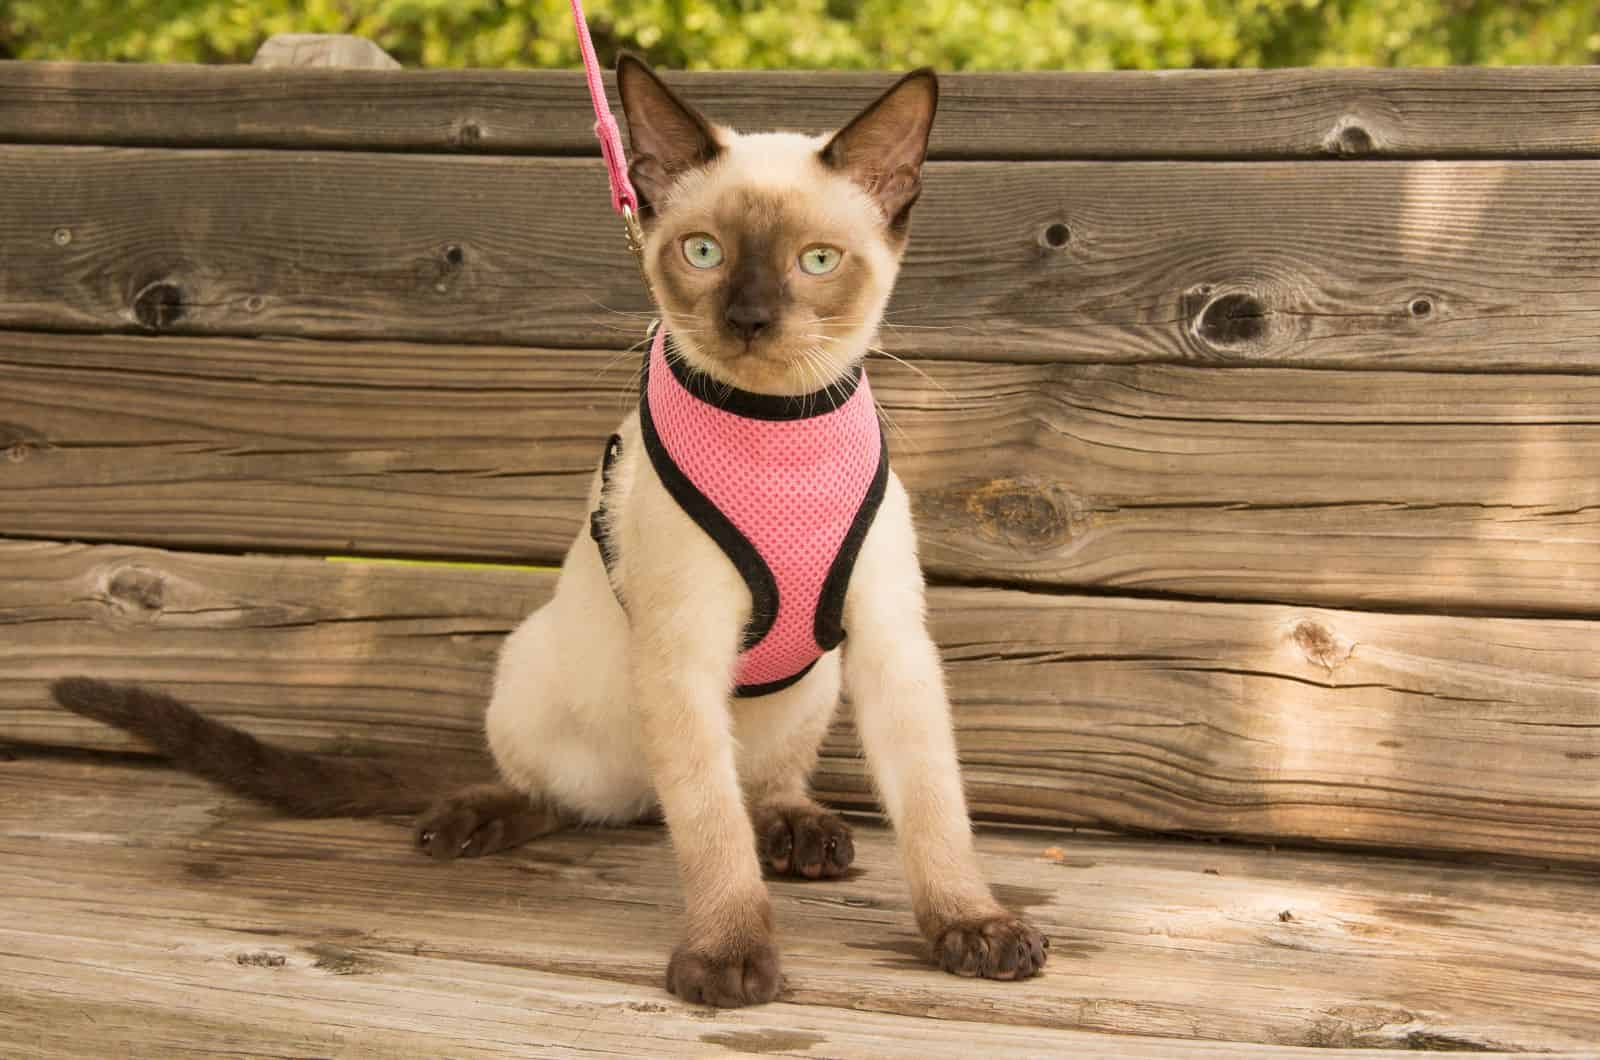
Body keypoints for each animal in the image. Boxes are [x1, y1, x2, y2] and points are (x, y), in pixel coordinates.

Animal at [50, 54, 1043, 1011]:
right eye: (704, 252)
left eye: (819, 261)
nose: (749, 320)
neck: (776, 426)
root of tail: (639, 797)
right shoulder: (684, 649)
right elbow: (710, 831)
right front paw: (729, 959)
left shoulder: (888, 642)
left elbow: (933, 809)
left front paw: (972, 927)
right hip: (545, 671)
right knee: (588, 796)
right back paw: (476, 820)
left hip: (816, 682)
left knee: (753, 788)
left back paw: (798, 832)